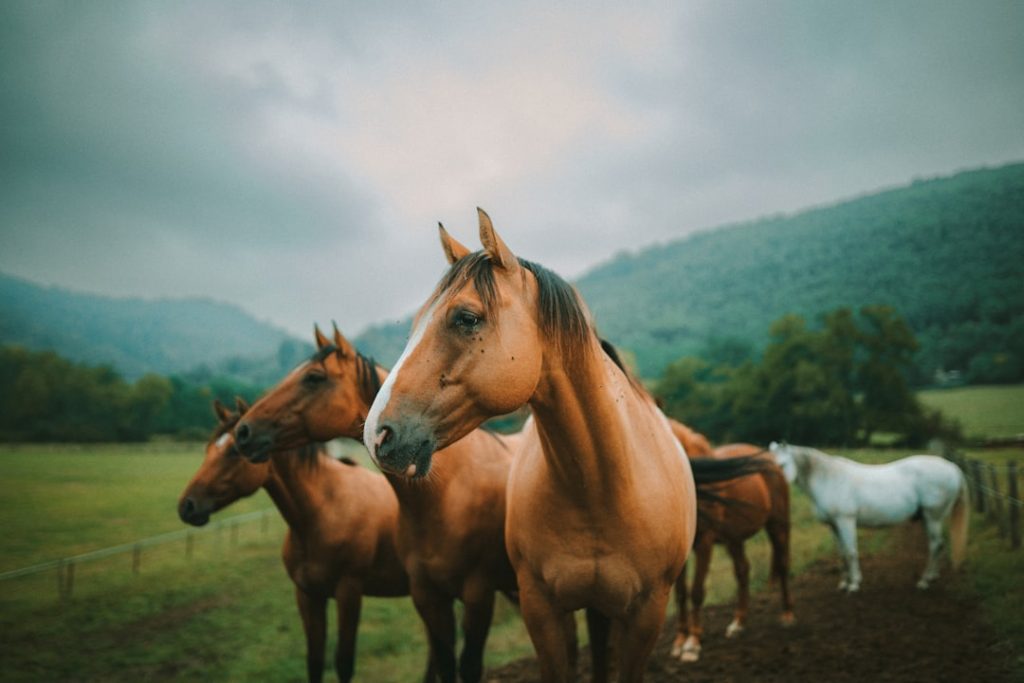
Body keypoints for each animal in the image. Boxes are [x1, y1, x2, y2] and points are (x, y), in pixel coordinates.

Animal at [177, 399, 409, 683]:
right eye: (208, 448)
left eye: (233, 451)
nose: (187, 506)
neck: (324, 511)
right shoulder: (308, 595)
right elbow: (315, 660)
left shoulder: (349, 593)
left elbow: (344, 663)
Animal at [232, 324, 519, 683]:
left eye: (313, 377)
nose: (242, 431)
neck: (448, 492)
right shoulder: (428, 596)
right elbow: (444, 661)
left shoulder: (479, 596)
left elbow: (467, 667)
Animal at [668, 433, 794, 663]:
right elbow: (680, 594)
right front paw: (680, 641)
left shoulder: (704, 543)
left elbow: (696, 591)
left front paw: (692, 644)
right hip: (734, 539)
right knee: (743, 571)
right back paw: (738, 624)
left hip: (777, 526)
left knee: (782, 564)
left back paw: (788, 615)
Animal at [769, 442, 969, 592]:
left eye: (782, 465)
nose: (773, 491)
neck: (829, 479)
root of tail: (954, 468)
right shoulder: (834, 526)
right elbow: (841, 553)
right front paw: (844, 583)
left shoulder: (846, 521)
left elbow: (851, 552)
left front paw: (854, 584)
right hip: (929, 519)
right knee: (938, 545)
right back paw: (933, 576)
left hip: (933, 517)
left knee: (935, 545)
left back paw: (924, 581)